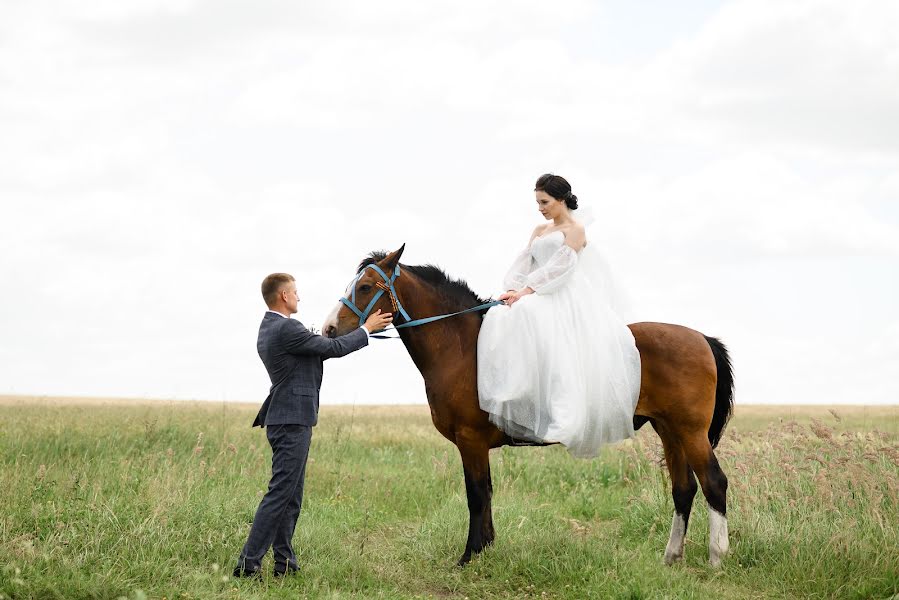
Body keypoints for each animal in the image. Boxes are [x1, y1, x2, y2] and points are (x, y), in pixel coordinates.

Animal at [326, 244, 736, 568]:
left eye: (365, 287)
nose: (329, 329)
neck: (464, 347)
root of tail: (701, 338)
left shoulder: (470, 441)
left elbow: (476, 495)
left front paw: (469, 556)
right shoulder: (476, 444)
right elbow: (486, 493)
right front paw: (486, 548)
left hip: (690, 432)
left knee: (714, 482)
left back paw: (716, 557)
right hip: (669, 431)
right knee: (684, 489)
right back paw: (671, 556)